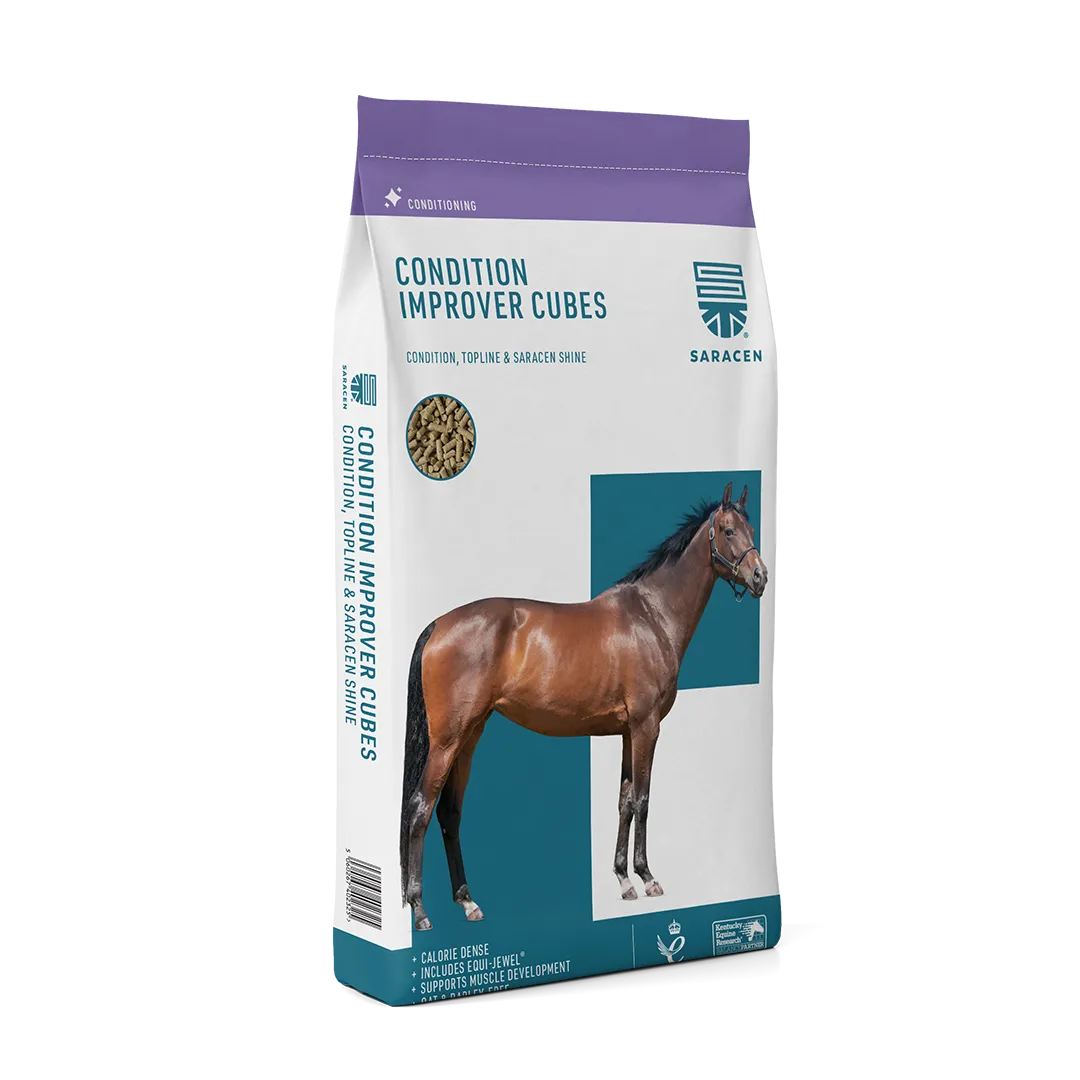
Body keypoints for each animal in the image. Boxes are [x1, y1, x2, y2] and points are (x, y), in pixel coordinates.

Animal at [400, 481, 768, 931]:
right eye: (728, 530)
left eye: (752, 528)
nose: (760, 577)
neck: (651, 616)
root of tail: (438, 625)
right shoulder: (647, 727)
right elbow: (643, 800)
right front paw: (647, 878)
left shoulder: (629, 732)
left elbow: (625, 801)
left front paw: (624, 880)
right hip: (446, 742)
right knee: (419, 809)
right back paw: (420, 910)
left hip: (469, 738)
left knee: (449, 813)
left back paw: (468, 902)